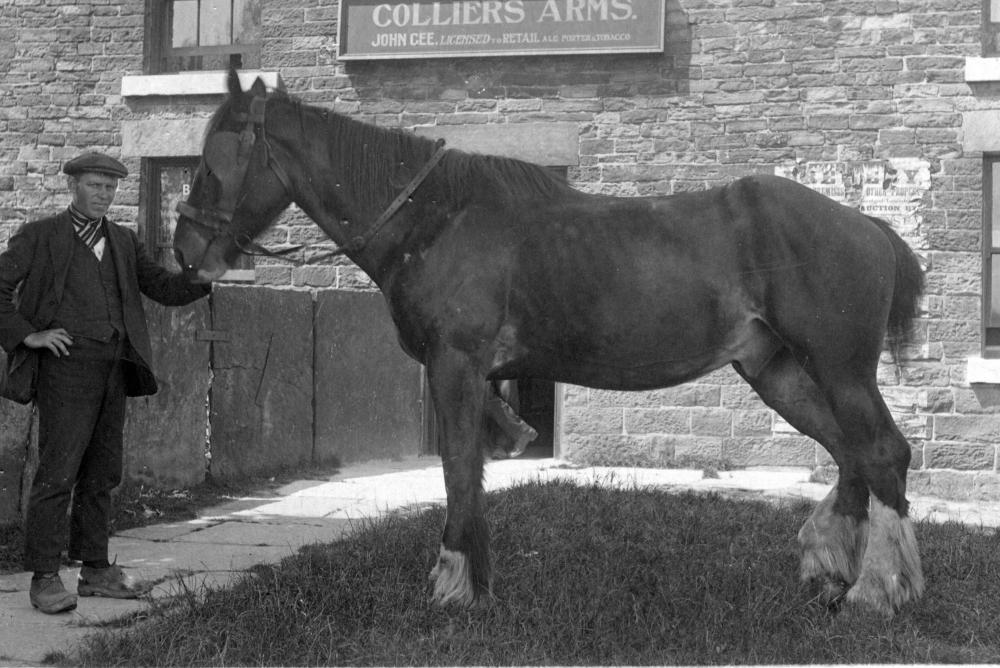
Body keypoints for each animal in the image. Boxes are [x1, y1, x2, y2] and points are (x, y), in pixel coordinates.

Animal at [174, 72, 928, 616]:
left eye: (212, 162)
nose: (185, 251)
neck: (436, 220)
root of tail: (864, 223)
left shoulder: (455, 366)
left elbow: (457, 470)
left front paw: (453, 586)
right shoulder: (472, 377)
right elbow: (474, 470)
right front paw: (475, 580)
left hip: (840, 370)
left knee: (881, 453)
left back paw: (874, 592)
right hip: (777, 371)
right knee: (851, 453)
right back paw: (831, 568)